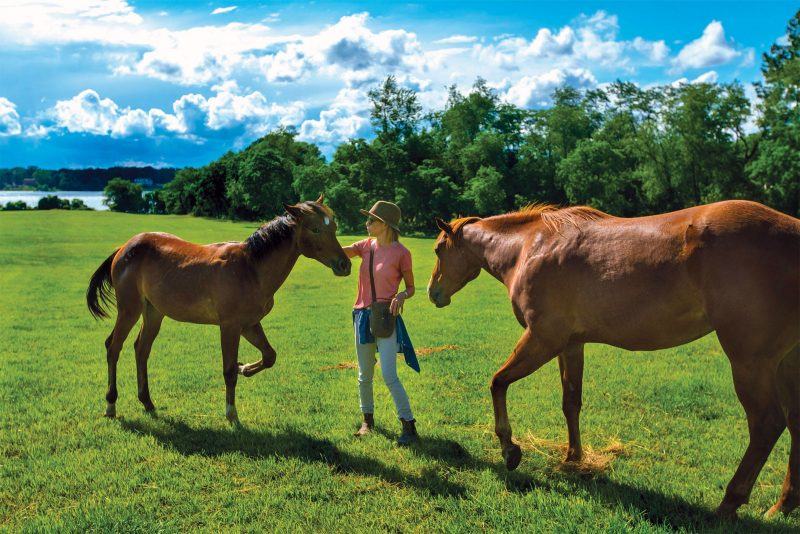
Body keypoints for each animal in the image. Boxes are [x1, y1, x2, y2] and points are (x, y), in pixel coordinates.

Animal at [86, 197, 350, 428]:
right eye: (315, 229)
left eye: (334, 227)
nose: (344, 264)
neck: (251, 268)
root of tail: (124, 248)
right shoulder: (230, 327)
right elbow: (229, 371)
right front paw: (232, 415)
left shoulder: (249, 325)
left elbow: (269, 356)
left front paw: (246, 368)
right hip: (129, 310)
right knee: (113, 347)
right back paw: (110, 405)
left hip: (153, 313)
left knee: (141, 350)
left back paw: (148, 402)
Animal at [428, 200, 800, 520]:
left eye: (437, 250)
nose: (433, 293)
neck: (529, 247)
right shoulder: (571, 345)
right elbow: (571, 402)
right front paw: (573, 458)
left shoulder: (543, 339)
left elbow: (498, 383)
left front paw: (510, 448)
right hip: (785, 363)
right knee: (794, 422)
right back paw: (782, 505)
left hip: (750, 362)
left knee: (766, 425)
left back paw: (728, 504)